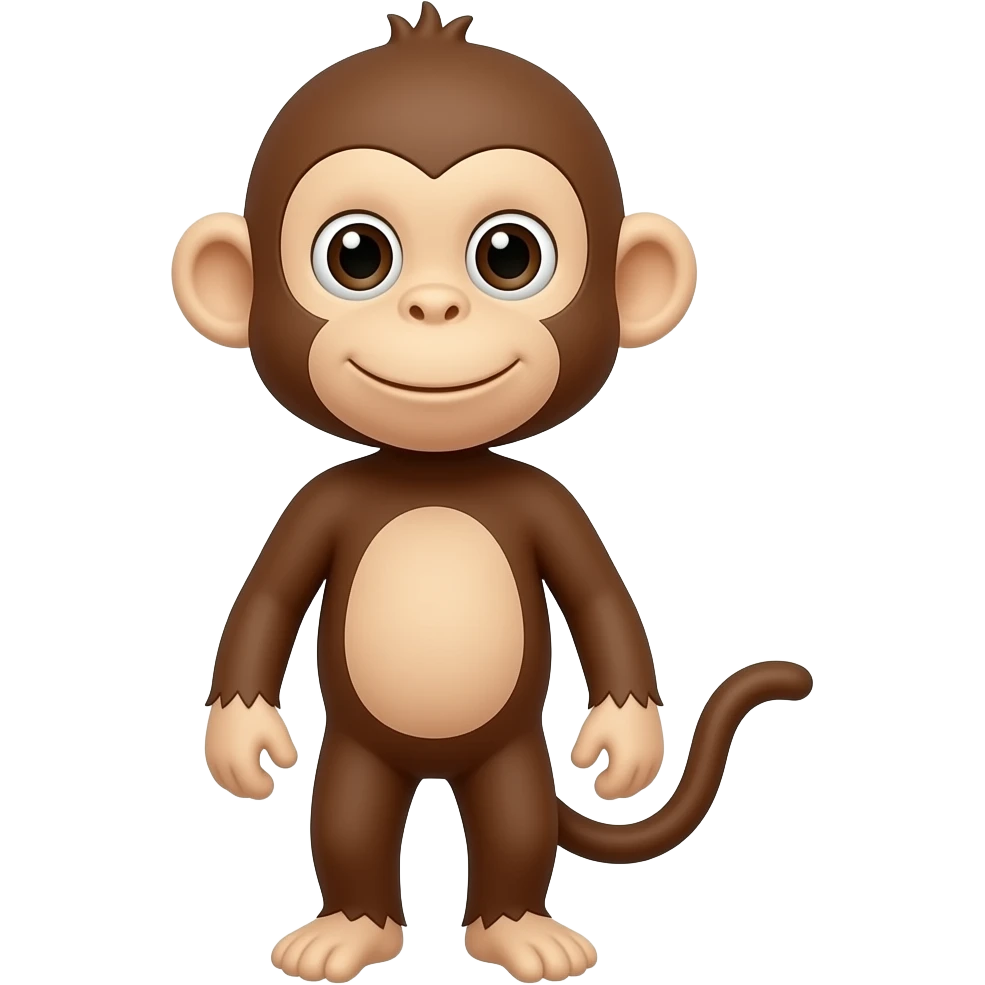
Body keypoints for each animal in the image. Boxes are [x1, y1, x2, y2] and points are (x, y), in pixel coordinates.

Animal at [172, 4, 814, 983]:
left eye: (508, 255)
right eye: (356, 254)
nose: (434, 307)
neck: (436, 469)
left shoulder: (549, 503)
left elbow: (599, 599)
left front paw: (624, 742)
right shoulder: (314, 503)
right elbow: (267, 598)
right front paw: (241, 741)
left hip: (512, 753)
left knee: (515, 824)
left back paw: (518, 930)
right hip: (359, 750)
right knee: (348, 818)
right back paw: (349, 929)